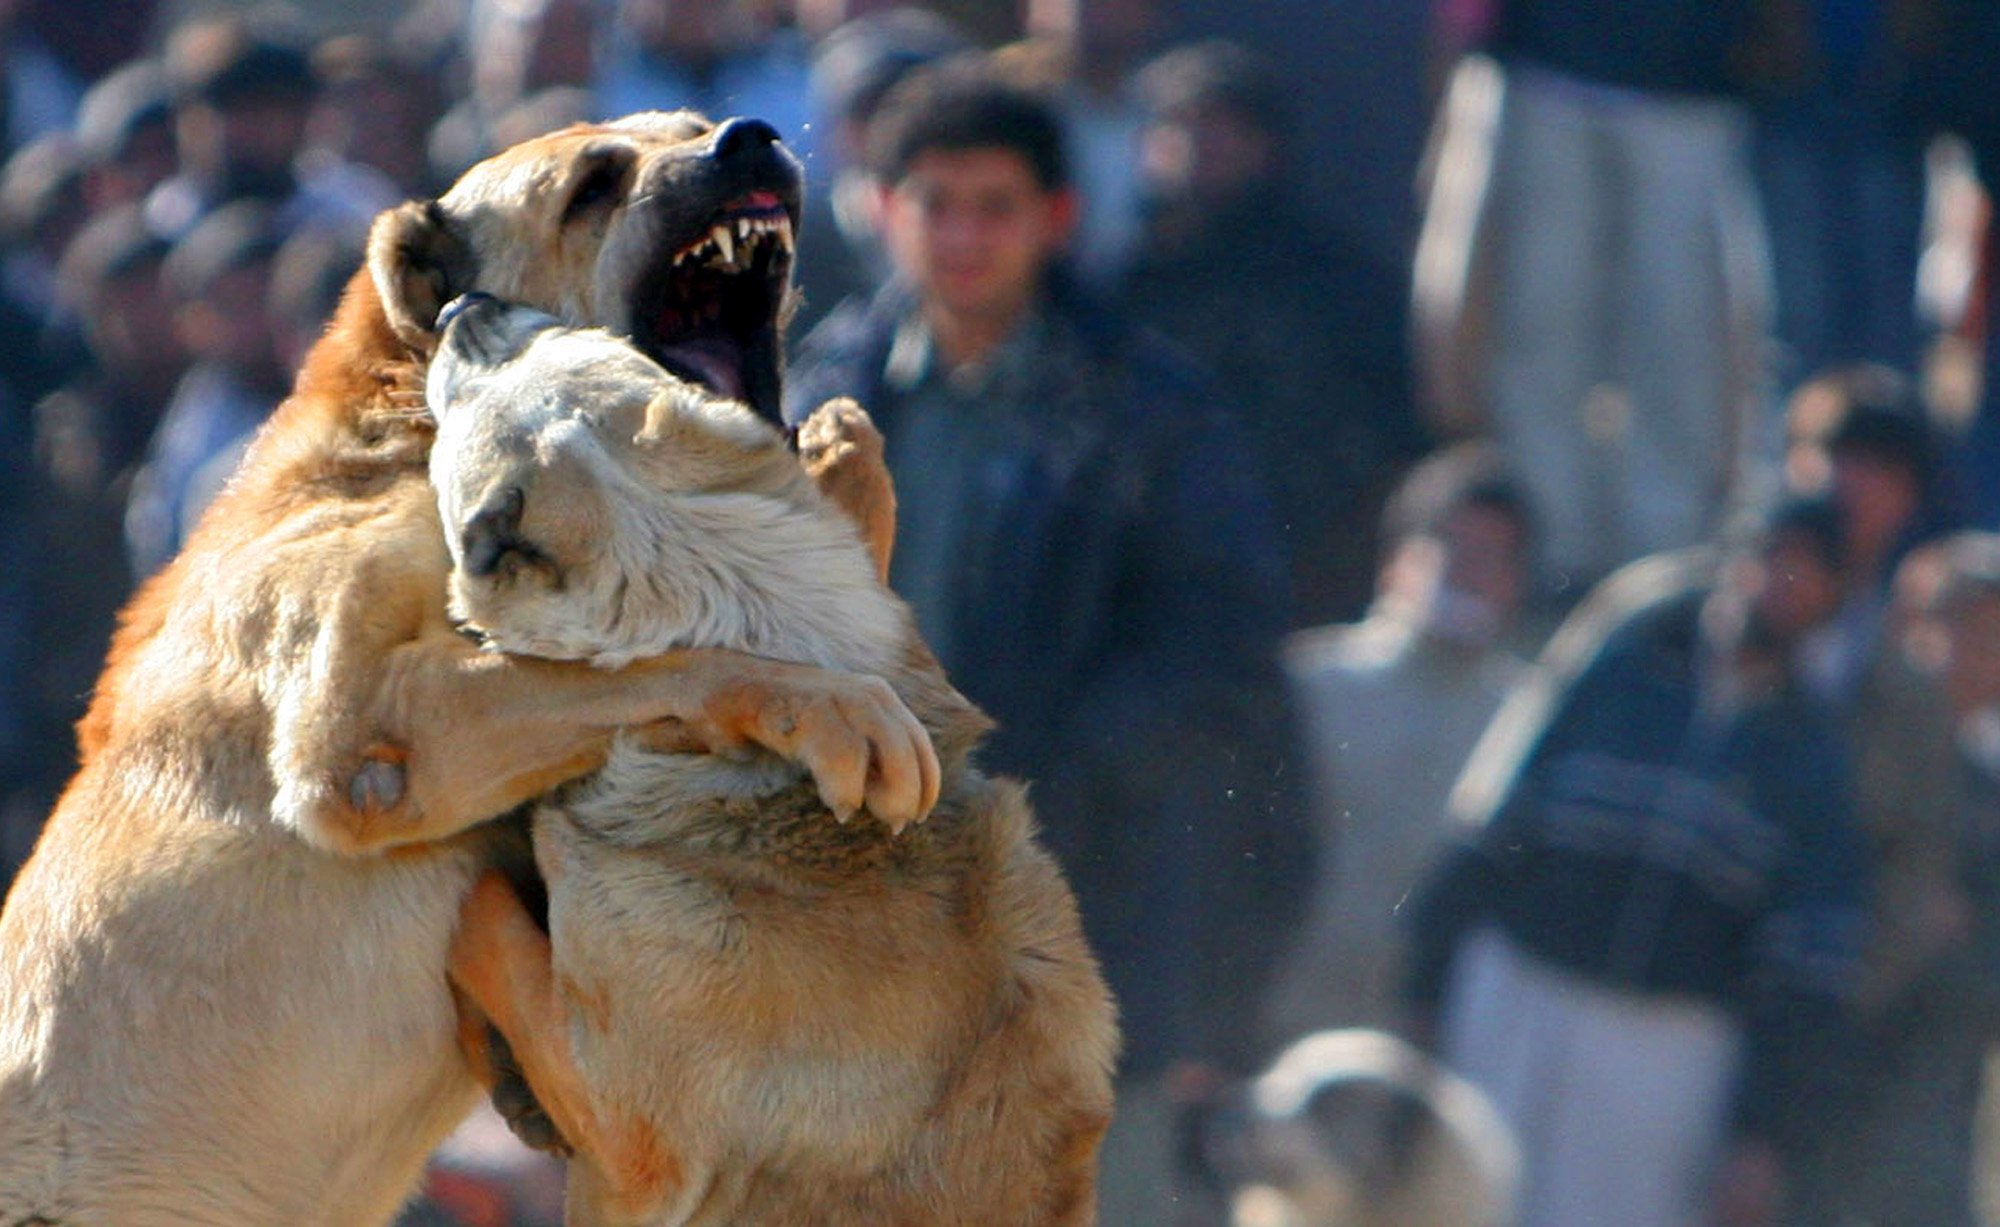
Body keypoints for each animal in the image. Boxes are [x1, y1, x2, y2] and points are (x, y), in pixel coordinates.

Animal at [0, 110, 936, 1223]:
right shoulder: (363, 733)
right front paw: (830, 708)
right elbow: (665, 660)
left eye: (691, 129)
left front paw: (848, 460)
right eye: (592, 185)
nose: (747, 137)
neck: (408, 420)